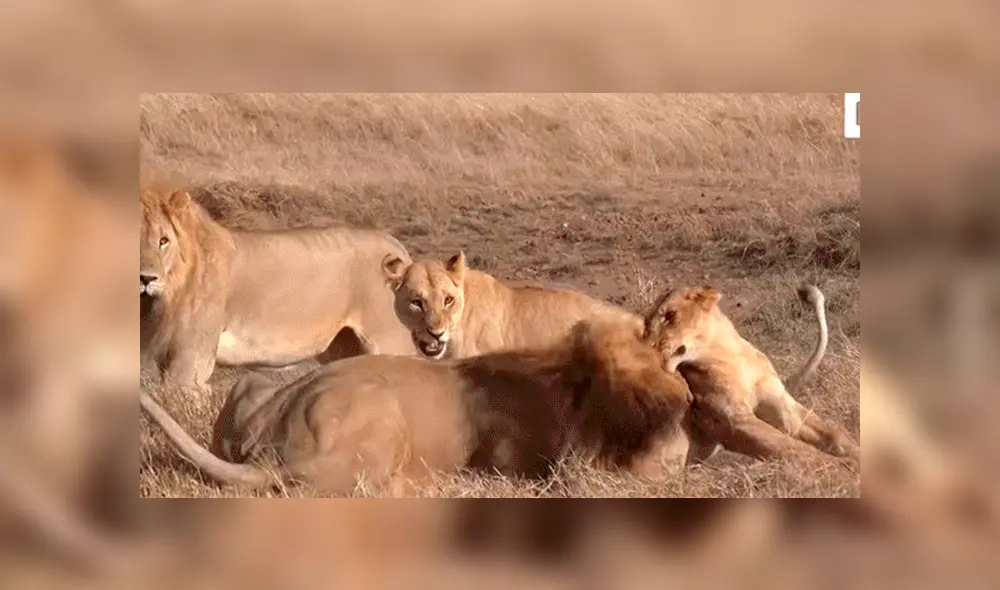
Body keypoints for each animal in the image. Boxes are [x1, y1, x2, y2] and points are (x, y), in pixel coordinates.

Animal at [643, 283, 860, 465]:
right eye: (647, 325)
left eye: (669, 315)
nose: (647, 345)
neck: (729, 354)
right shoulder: (734, 420)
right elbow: (794, 448)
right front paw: (845, 468)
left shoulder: (779, 402)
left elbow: (831, 433)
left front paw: (855, 453)